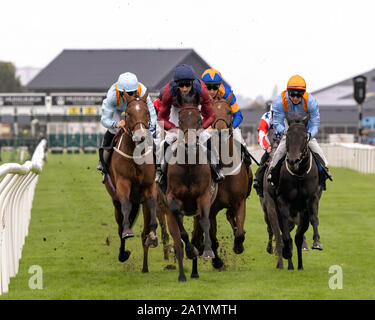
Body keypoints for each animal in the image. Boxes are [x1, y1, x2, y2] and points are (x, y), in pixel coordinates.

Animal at [106, 90, 159, 272]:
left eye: (148, 112)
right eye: (128, 113)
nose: (141, 136)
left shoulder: (150, 184)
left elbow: (152, 204)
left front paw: (153, 234)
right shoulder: (123, 183)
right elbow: (126, 206)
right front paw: (128, 231)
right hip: (115, 201)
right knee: (120, 224)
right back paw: (123, 254)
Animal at [164, 91, 214, 282]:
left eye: (199, 120)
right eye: (181, 119)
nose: (190, 143)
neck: (189, 166)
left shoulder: (204, 196)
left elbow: (205, 222)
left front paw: (208, 251)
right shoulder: (172, 199)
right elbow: (182, 234)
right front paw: (191, 251)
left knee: (197, 233)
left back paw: (194, 271)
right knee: (178, 243)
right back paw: (182, 275)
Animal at [192, 93, 254, 276]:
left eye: (229, 112)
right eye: (213, 113)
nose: (220, 131)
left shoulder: (240, 202)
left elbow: (239, 232)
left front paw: (238, 245)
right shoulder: (211, 209)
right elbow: (212, 238)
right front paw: (217, 261)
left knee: (229, 217)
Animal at [264, 115, 324, 270]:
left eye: (304, 137)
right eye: (288, 136)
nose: (292, 160)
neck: (299, 175)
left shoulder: (311, 199)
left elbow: (314, 219)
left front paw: (317, 242)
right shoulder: (282, 200)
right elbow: (284, 231)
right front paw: (286, 252)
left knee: (296, 236)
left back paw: (298, 265)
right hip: (271, 207)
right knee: (277, 233)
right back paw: (282, 261)